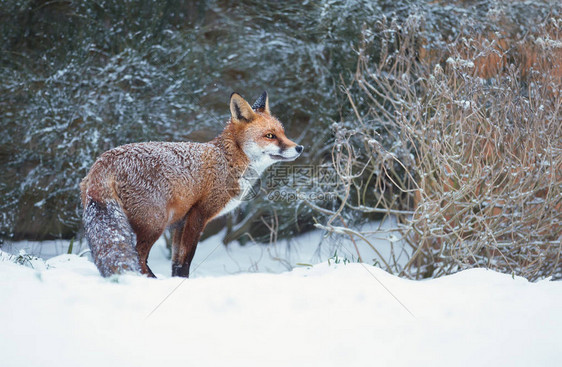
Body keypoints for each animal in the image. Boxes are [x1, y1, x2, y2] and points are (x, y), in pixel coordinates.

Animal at [80, 92, 302, 278]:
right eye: (270, 136)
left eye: (283, 133)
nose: (299, 147)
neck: (227, 160)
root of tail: (103, 160)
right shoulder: (198, 215)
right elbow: (186, 260)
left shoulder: (179, 222)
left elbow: (176, 263)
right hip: (154, 224)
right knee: (139, 257)